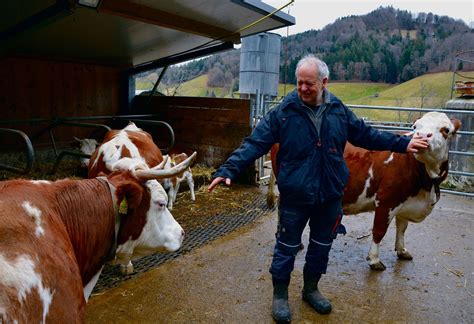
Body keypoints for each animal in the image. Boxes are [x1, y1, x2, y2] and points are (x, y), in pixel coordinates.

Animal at [268, 111, 462, 270]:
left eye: (446, 129)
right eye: (416, 127)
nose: (421, 136)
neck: (425, 180)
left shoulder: (405, 203)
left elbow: (402, 228)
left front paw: (401, 250)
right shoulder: (386, 201)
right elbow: (379, 231)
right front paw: (374, 260)